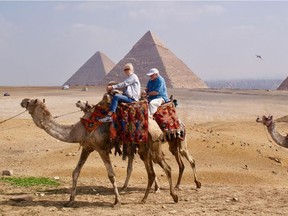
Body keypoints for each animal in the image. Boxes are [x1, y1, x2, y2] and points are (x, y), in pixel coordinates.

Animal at [20, 97, 178, 206]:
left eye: (31, 101)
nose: (22, 101)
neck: (78, 129)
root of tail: (156, 125)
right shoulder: (87, 147)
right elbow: (75, 172)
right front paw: (70, 200)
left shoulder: (101, 149)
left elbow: (111, 175)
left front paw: (117, 201)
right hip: (144, 149)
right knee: (152, 173)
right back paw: (145, 199)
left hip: (153, 146)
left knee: (167, 168)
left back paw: (173, 196)